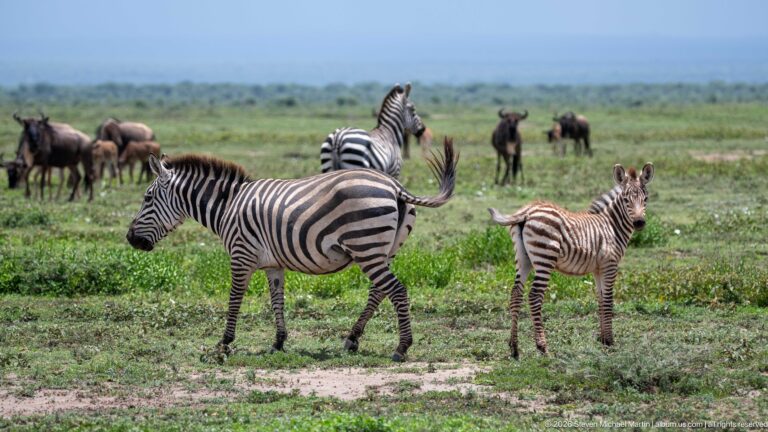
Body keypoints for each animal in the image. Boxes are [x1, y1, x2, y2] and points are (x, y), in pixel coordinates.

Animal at [126, 138, 458, 362]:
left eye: (147, 197)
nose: (130, 239)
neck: (227, 207)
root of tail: (394, 186)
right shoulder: (273, 263)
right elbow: (277, 301)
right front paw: (278, 342)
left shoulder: (241, 255)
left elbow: (234, 299)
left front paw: (225, 343)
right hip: (383, 250)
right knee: (379, 291)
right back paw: (352, 339)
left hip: (366, 246)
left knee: (396, 291)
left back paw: (401, 348)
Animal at [488, 163, 654, 358]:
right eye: (626, 199)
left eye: (646, 198)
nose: (639, 223)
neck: (611, 226)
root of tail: (526, 211)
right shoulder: (610, 264)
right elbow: (608, 300)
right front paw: (610, 342)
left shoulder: (598, 268)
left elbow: (600, 298)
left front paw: (603, 340)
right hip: (545, 257)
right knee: (534, 296)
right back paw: (542, 347)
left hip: (523, 258)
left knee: (516, 293)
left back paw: (514, 348)